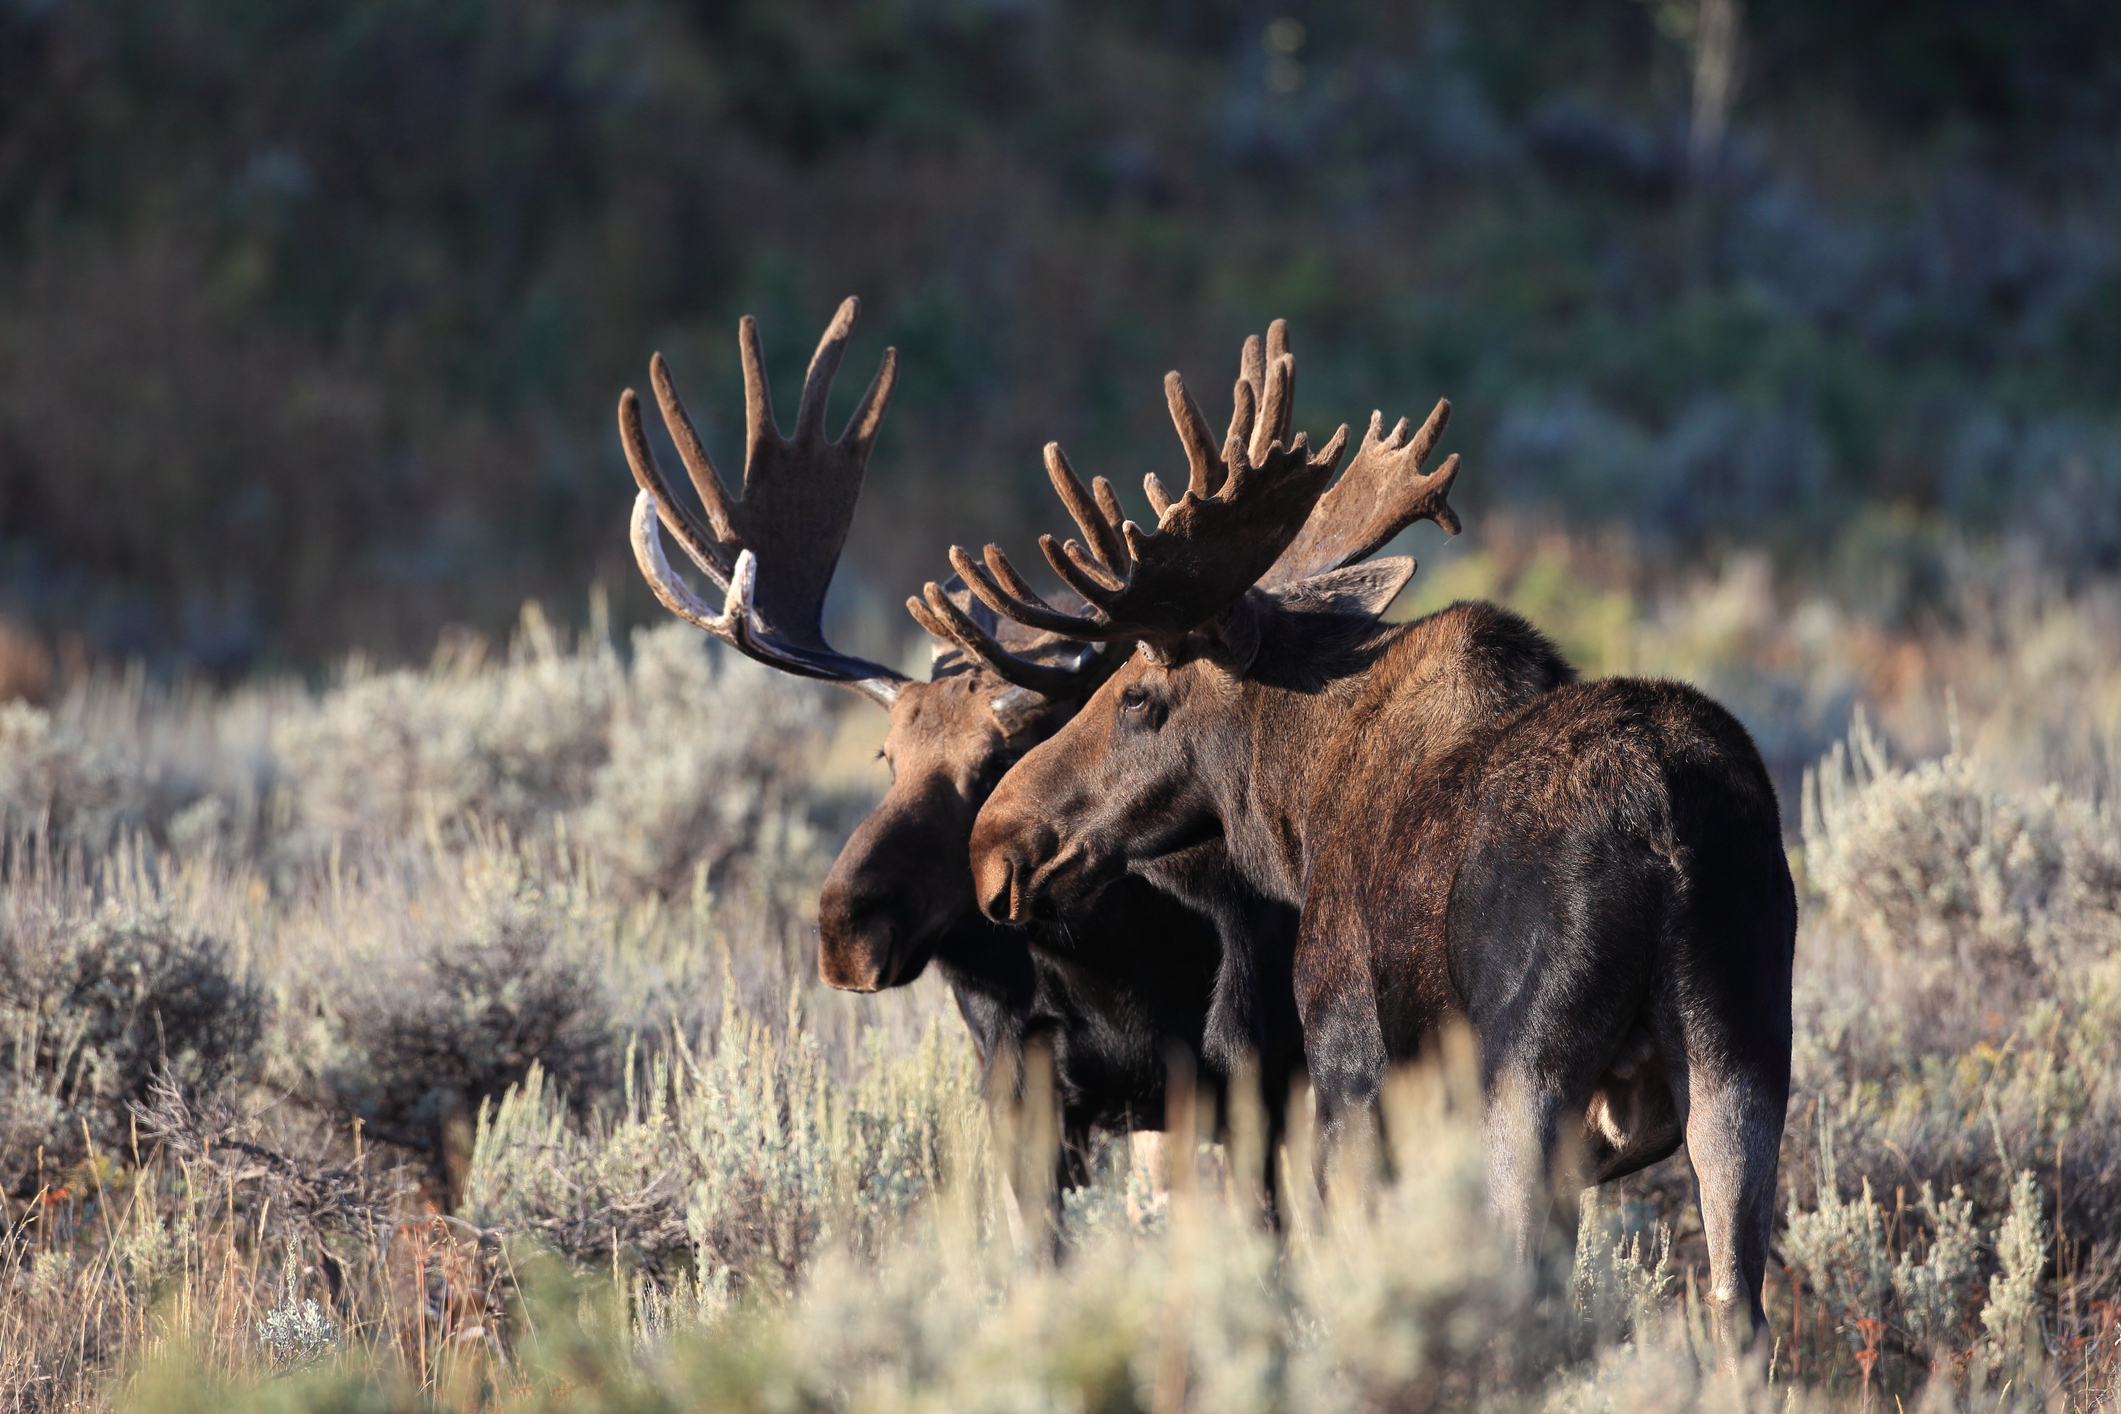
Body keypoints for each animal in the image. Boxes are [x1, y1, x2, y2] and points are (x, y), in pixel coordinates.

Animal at [618, 299, 1461, 1193]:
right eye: (886, 759)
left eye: (1002, 754)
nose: (845, 929)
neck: (1120, 973)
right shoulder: (1020, 1095)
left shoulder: (1250, 1083)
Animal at [961, 347, 1797, 1369]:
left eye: (1139, 696)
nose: (996, 849)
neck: (1297, 807)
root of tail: (1667, 825)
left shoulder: (1348, 1068)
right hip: (1743, 1052)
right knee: (1736, 1306)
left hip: (1526, 1069)